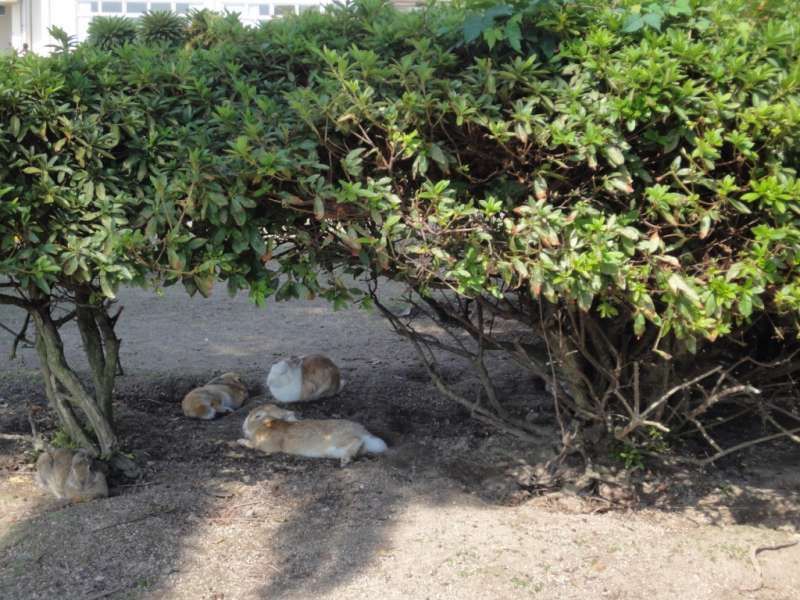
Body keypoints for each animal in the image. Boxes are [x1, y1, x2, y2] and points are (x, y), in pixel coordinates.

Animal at [236, 414, 386, 466]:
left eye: (257, 416)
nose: (243, 426)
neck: (267, 424)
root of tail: (362, 432)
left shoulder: (265, 445)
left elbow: (252, 444)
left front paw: (240, 441)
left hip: (338, 440)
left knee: (356, 441)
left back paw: (344, 461)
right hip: (334, 450)